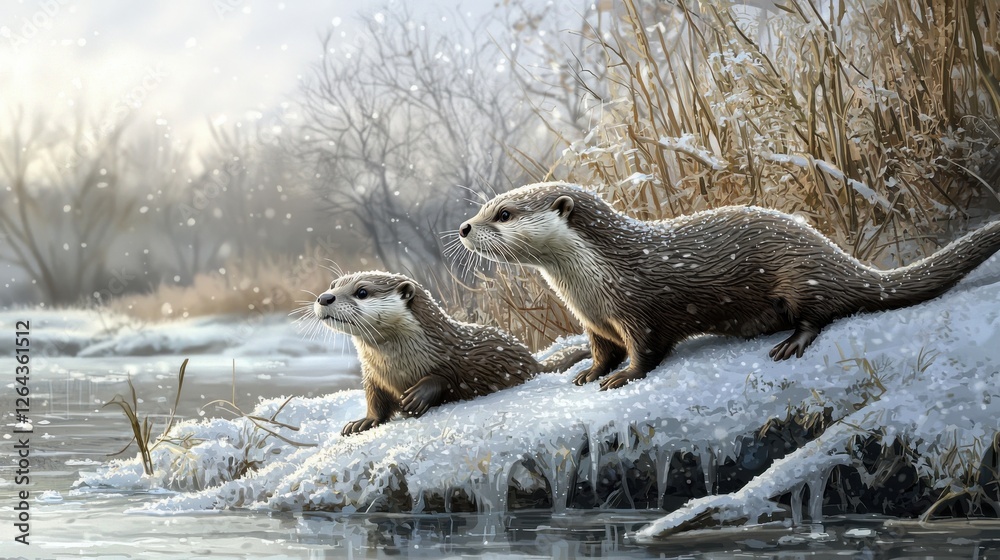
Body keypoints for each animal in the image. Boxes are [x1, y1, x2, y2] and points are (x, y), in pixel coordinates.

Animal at [313, 271, 590, 435]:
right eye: (333, 285)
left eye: (362, 292)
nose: (324, 297)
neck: (397, 366)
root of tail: (534, 363)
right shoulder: (372, 377)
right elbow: (375, 401)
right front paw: (363, 422)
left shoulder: (453, 358)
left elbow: (447, 378)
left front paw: (417, 396)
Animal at [458, 181, 1000, 390]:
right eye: (485, 207)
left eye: (503, 214)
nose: (464, 228)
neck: (590, 283)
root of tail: (833, 252)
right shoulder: (593, 322)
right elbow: (600, 351)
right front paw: (590, 373)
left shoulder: (637, 309)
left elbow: (646, 352)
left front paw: (621, 377)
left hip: (799, 273)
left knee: (822, 310)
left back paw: (791, 343)